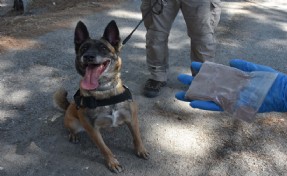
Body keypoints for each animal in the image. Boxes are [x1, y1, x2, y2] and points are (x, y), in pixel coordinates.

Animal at [53, 20, 150, 172]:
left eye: (103, 48)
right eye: (84, 48)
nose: (88, 56)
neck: (104, 90)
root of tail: (69, 106)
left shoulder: (132, 119)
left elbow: (137, 137)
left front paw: (141, 150)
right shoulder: (92, 129)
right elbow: (104, 148)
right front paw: (112, 162)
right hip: (73, 123)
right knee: (71, 129)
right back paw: (73, 135)